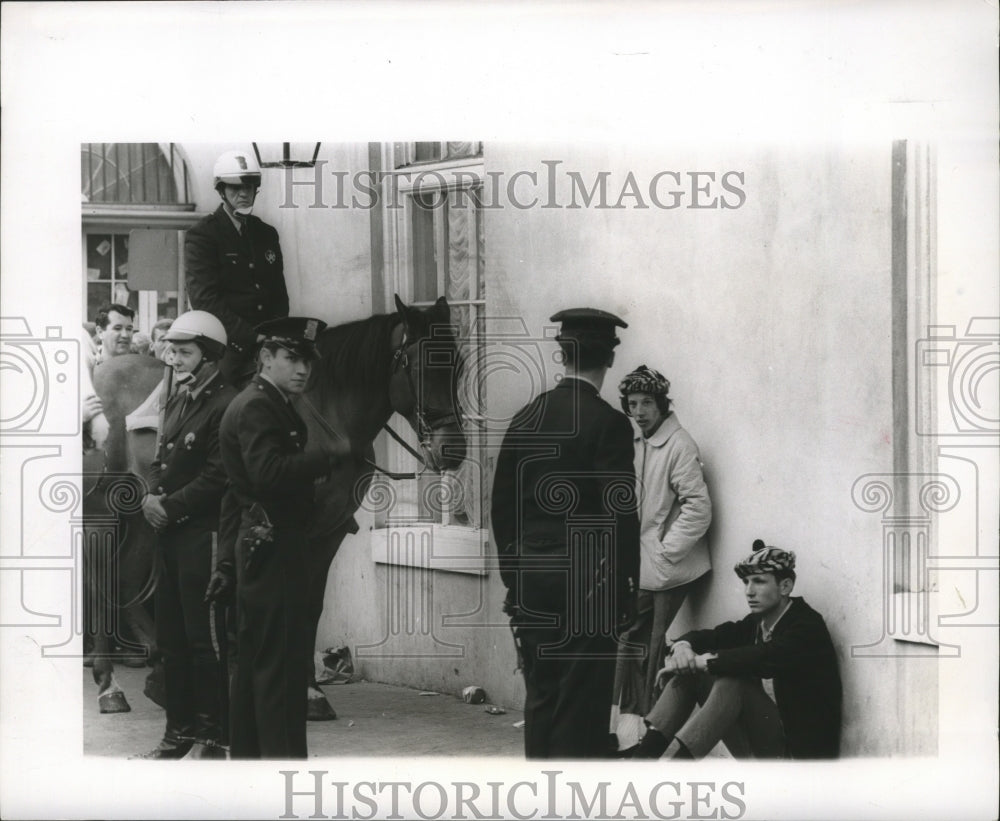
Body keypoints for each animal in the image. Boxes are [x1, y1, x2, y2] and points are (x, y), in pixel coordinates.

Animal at [83, 294, 468, 716]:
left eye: (459, 364)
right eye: (418, 366)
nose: (453, 449)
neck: (325, 417)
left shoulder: (329, 531)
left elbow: (310, 607)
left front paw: (310, 691)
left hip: (147, 516)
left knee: (124, 577)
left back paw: (160, 668)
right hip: (101, 512)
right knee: (99, 582)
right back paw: (109, 685)